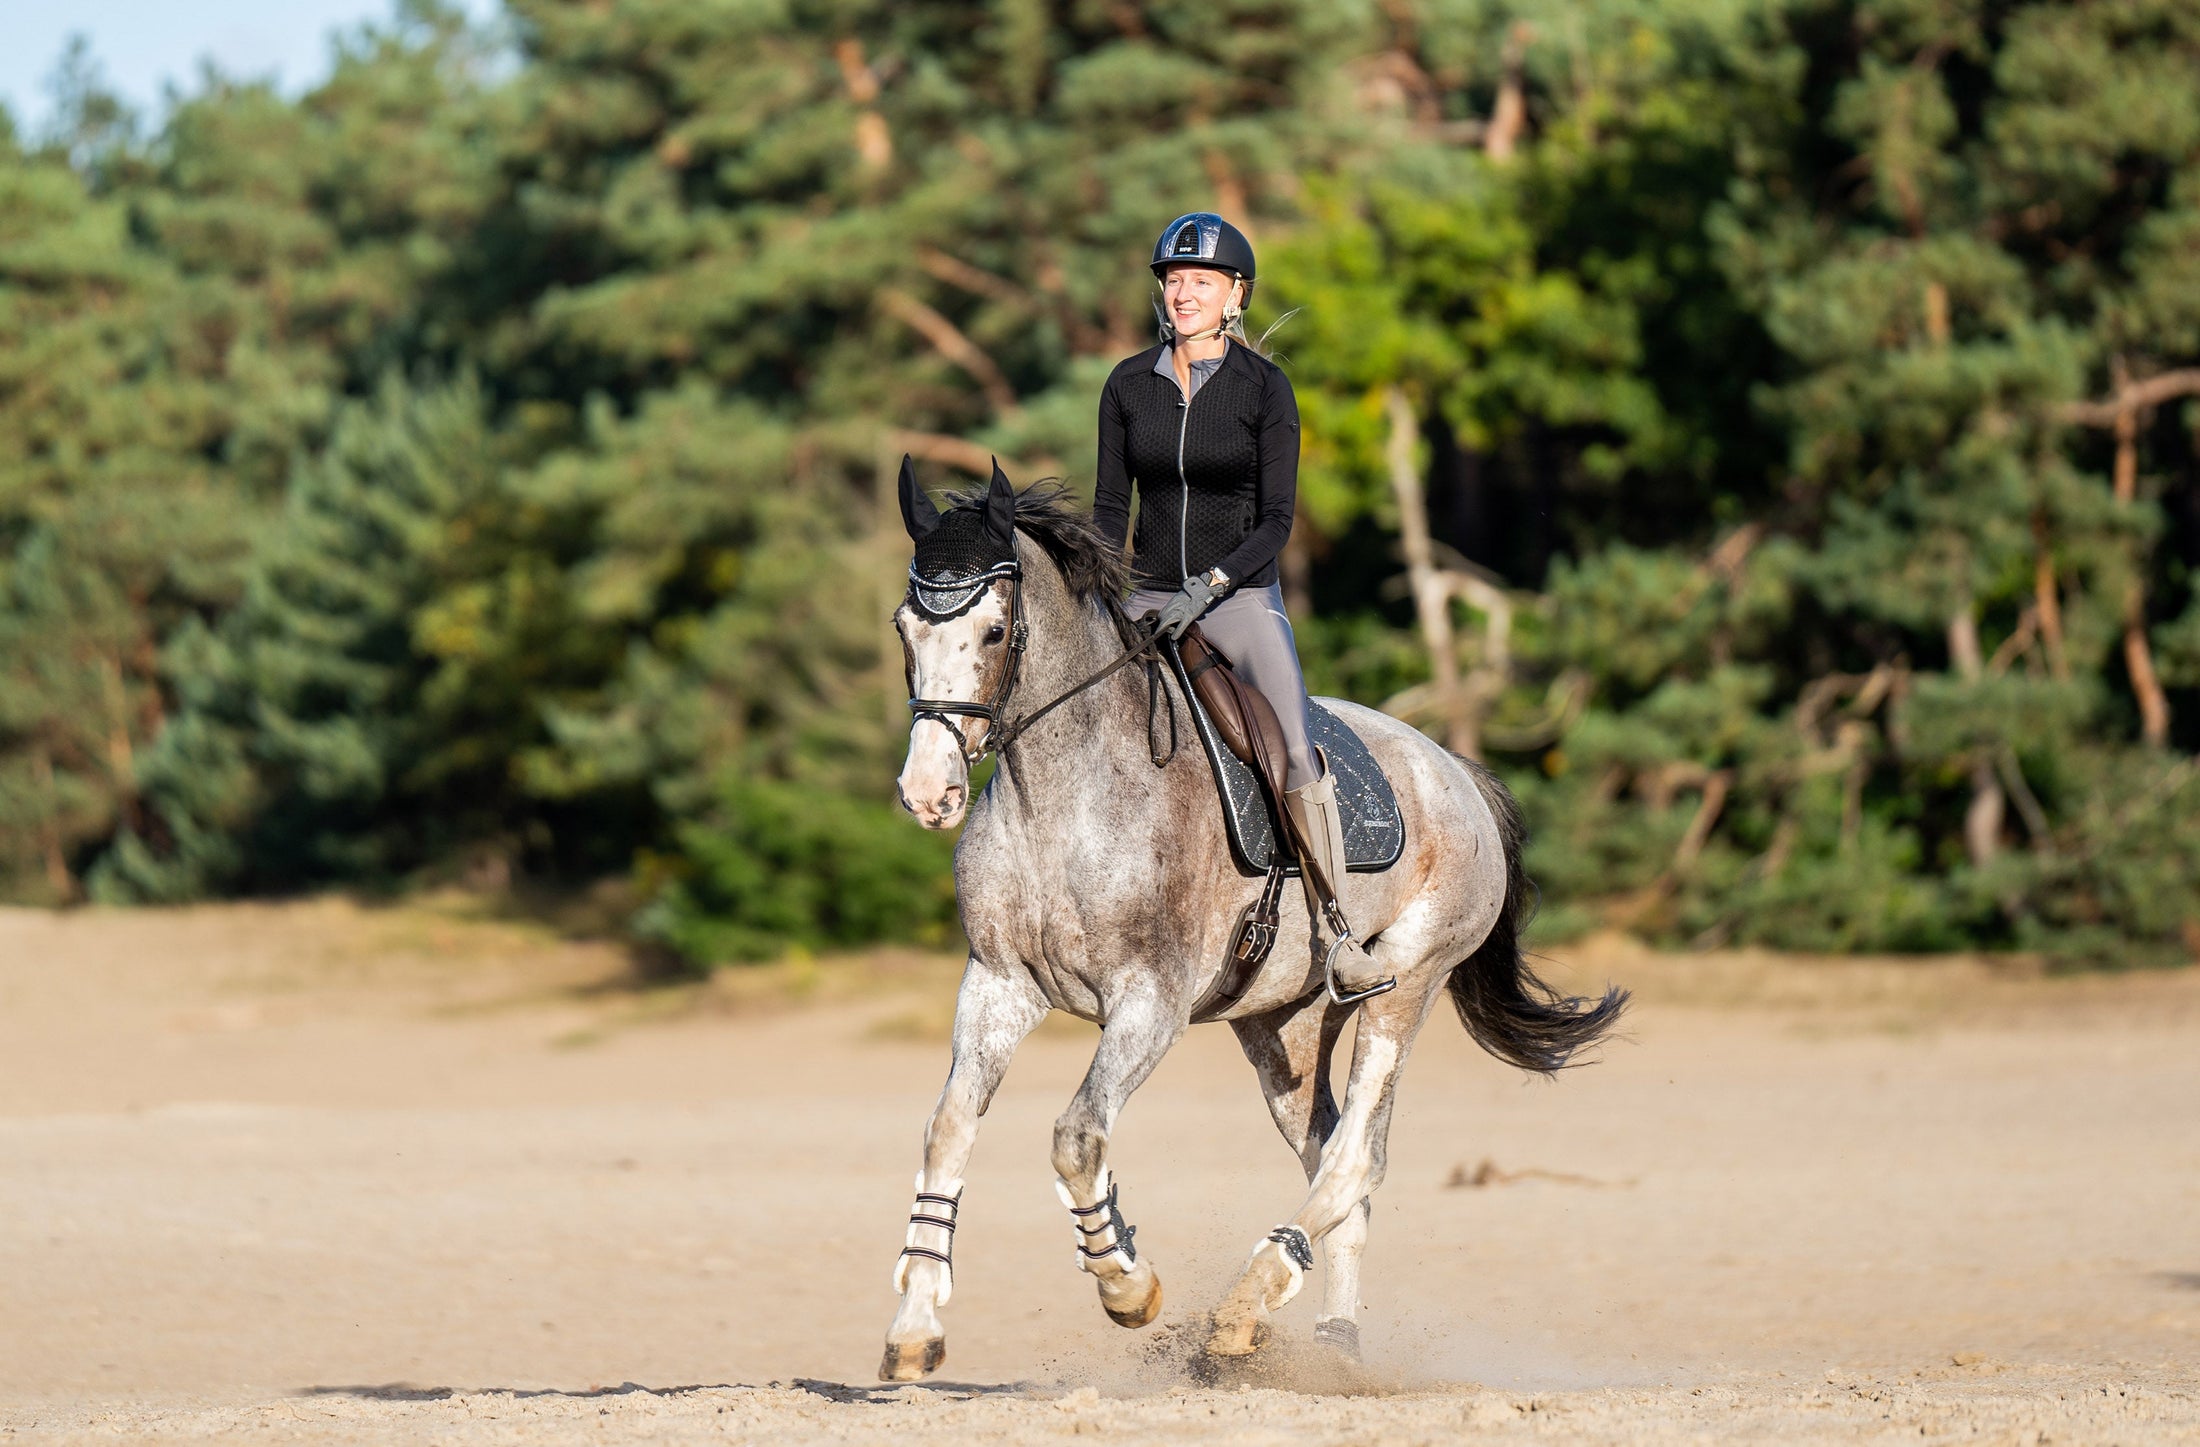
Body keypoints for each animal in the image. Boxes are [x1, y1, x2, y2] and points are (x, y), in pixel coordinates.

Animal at [880, 461, 1625, 1382]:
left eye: (991, 631)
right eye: (906, 626)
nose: (928, 793)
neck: (1058, 792)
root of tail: (1458, 771)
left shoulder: (1149, 1002)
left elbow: (1077, 1136)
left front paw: (1129, 1286)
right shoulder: (997, 985)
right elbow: (948, 1129)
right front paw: (915, 1326)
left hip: (1403, 984)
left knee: (1352, 1154)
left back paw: (1244, 1303)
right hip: (1282, 1027)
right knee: (1336, 1154)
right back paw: (1332, 1344)